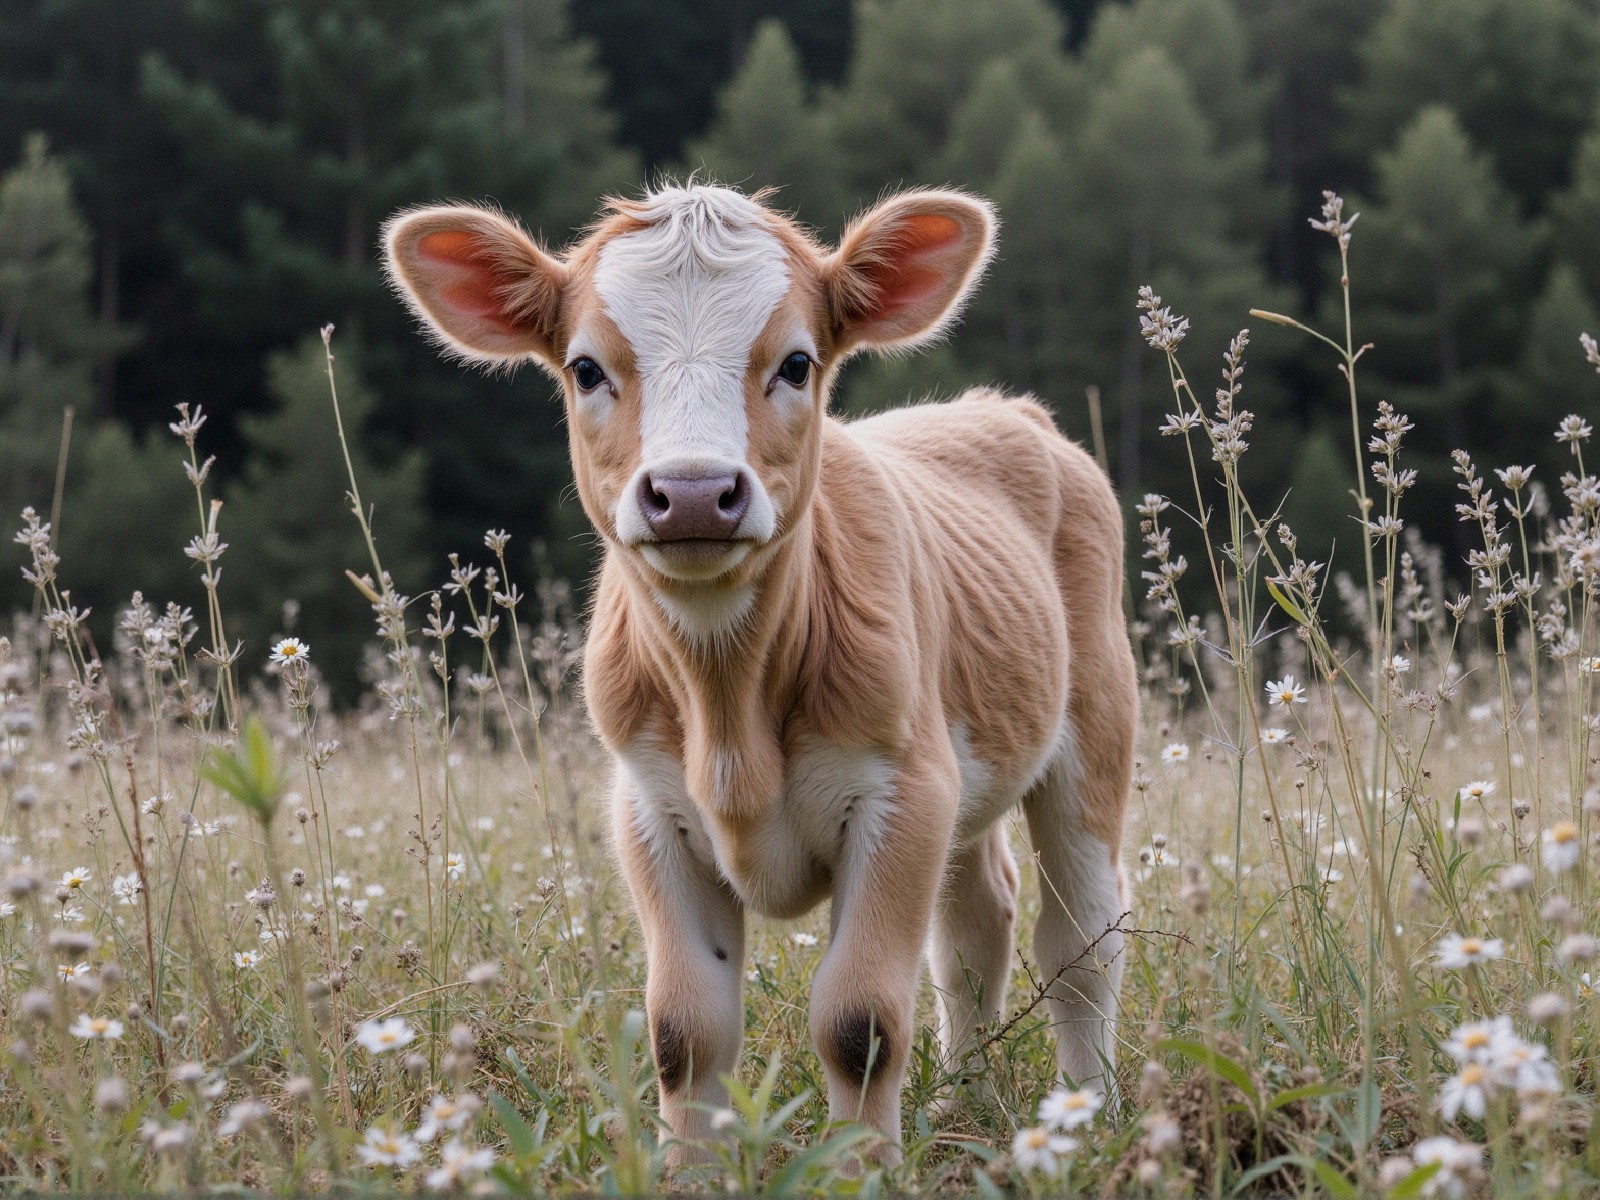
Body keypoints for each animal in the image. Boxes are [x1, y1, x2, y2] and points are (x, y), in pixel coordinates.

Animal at [383, 182, 1137, 1163]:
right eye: (586, 369)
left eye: (797, 362)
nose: (694, 493)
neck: (728, 709)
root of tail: (1000, 409)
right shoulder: (649, 806)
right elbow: (684, 1030)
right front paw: (690, 1171)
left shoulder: (902, 792)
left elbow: (859, 1021)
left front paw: (862, 1168)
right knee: (977, 925)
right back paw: (962, 1106)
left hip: (1092, 729)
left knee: (1080, 939)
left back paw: (1091, 1115)